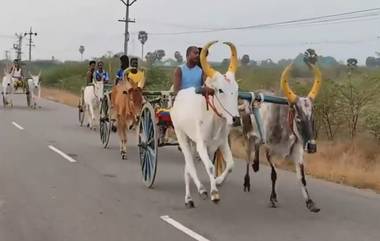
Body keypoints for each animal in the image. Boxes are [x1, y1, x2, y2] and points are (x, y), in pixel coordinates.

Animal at [171, 41, 239, 207]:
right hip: (181, 135)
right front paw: (214, 192)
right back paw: (197, 192)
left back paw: (191, 196)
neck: (215, 120)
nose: (235, 119)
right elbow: (210, 167)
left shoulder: (222, 142)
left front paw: (218, 181)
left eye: (236, 89)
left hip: (191, 141)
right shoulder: (201, 144)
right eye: (220, 90)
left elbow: (230, 165)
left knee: (187, 167)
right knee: (190, 165)